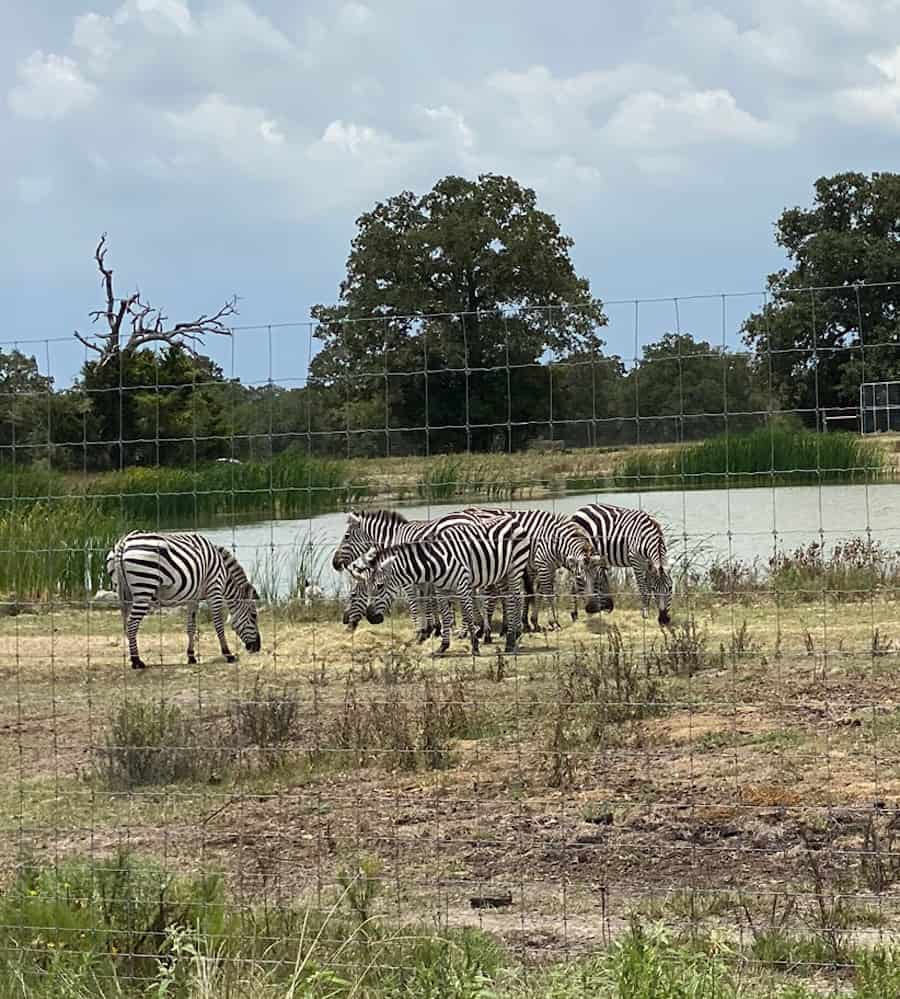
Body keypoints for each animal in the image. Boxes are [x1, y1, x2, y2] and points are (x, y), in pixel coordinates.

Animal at [106, 532, 262, 672]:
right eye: (254, 616)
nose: (257, 647)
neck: (224, 574)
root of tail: (124, 542)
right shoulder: (214, 590)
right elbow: (218, 625)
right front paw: (228, 654)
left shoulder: (193, 598)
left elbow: (191, 627)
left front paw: (191, 656)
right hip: (144, 587)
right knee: (132, 624)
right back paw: (137, 661)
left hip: (123, 592)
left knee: (126, 625)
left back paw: (133, 657)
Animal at [344, 516, 528, 656]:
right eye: (368, 589)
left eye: (380, 586)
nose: (370, 617)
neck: (433, 562)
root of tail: (511, 519)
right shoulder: (440, 588)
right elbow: (445, 613)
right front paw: (443, 646)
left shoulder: (460, 585)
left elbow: (465, 615)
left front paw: (474, 645)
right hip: (502, 573)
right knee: (511, 599)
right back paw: (513, 634)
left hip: (515, 568)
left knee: (514, 599)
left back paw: (510, 640)